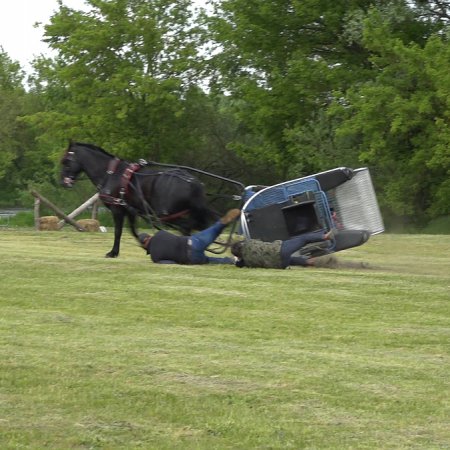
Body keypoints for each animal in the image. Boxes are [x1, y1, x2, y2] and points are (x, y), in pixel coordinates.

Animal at [60, 141, 217, 256]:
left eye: (66, 160)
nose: (63, 182)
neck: (111, 174)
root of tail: (193, 182)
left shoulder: (117, 209)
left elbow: (118, 231)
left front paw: (113, 252)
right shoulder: (130, 210)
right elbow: (133, 230)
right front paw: (145, 245)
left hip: (167, 214)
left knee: (187, 227)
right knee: (193, 226)